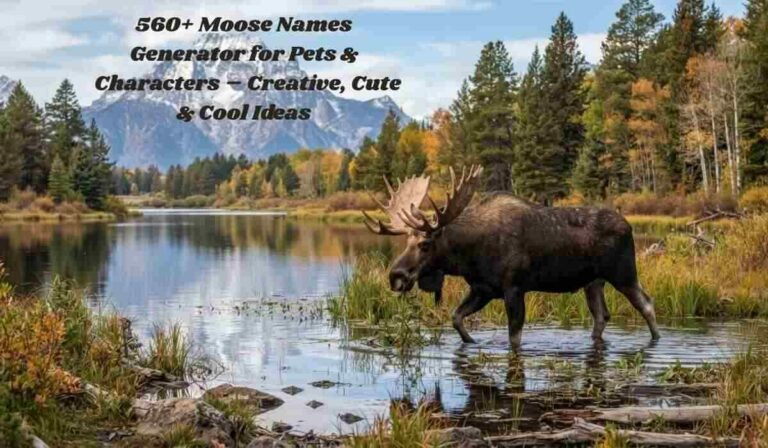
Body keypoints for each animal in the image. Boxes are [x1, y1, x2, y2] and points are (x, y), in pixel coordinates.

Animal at [361, 166, 660, 346]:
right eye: (405, 242)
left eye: (425, 244)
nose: (396, 276)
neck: (468, 256)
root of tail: (629, 225)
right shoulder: (483, 288)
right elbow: (456, 318)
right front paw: (471, 342)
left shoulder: (514, 287)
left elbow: (514, 337)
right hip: (593, 282)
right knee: (602, 316)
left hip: (623, 273)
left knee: (646, 304)